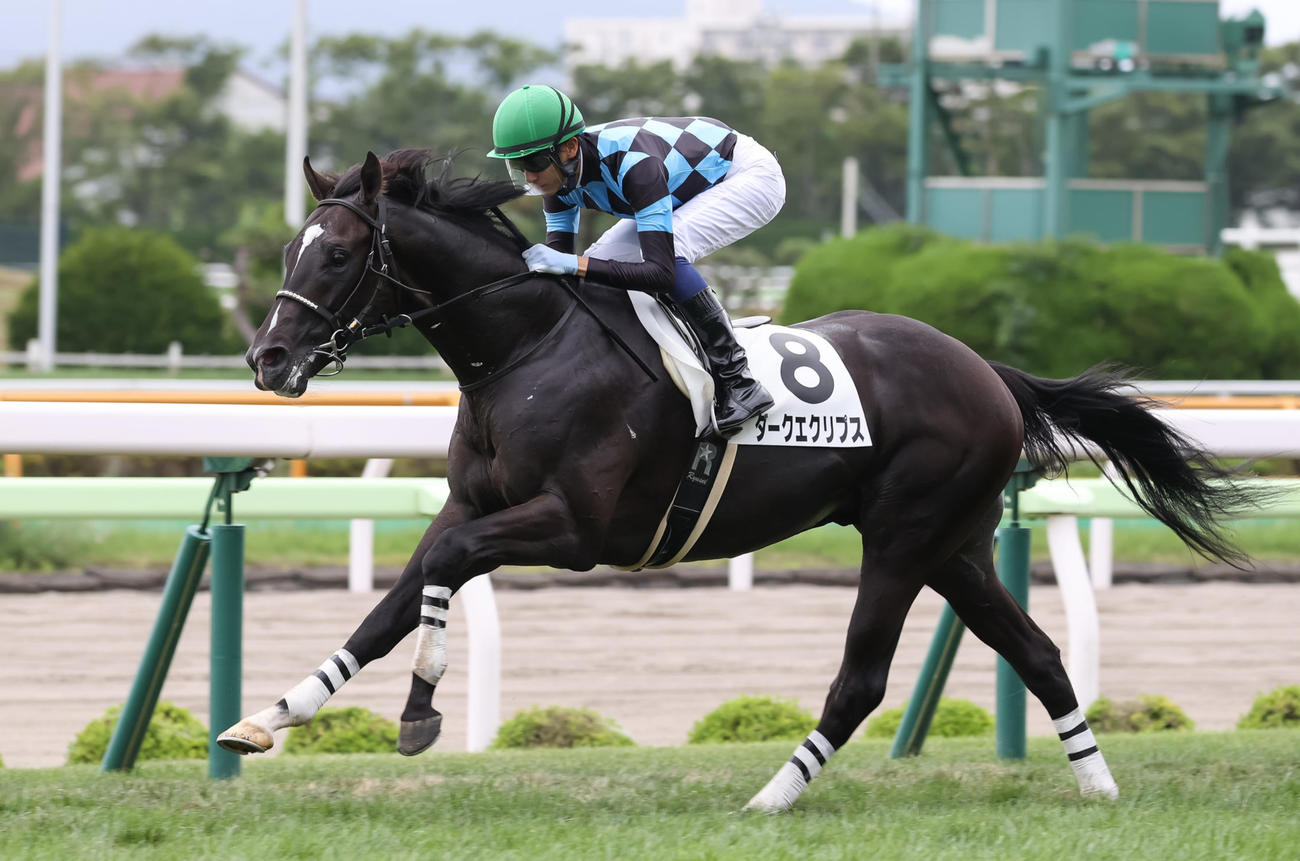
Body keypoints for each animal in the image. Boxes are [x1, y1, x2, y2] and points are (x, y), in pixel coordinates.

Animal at [218, 148, 1254, 812]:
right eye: (289, 250)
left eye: (339, 253)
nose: (268, 359)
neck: (526, 347)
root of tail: (989, 372)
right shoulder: (475, 503)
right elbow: (391, 602)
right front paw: (268, 717)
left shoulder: (576, 530)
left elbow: (446, 572)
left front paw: (421, 711)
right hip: (955, 542)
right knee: (1038, 655)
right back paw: (1099, 786)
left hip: (905, 535)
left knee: (861, 680)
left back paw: (769, 798)